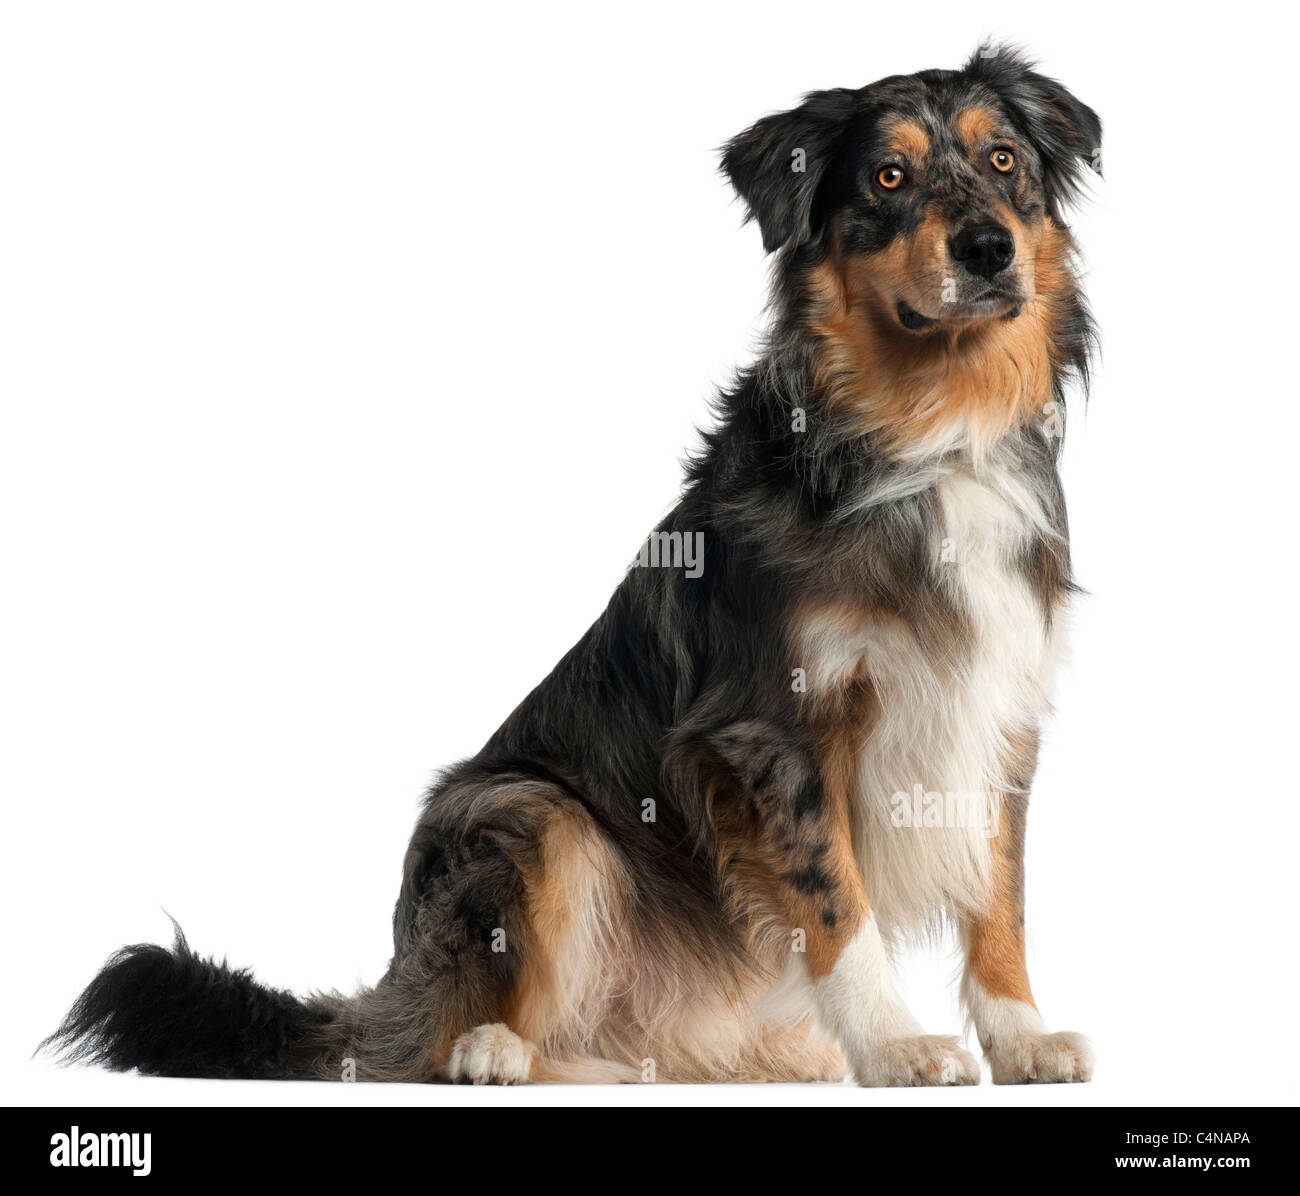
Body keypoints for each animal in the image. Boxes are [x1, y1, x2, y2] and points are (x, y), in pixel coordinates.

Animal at [53, 44, 1107, 1081]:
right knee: (462, 1033)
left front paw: (1021, 1036)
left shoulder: (998, 706)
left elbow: (1002, 896)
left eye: (1004, 161)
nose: (988, 248)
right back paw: (491, 1049)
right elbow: (835, 899)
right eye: (889, 177)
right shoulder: (775, 729)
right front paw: (894, 1044)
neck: (930, 434)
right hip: (524, 811)